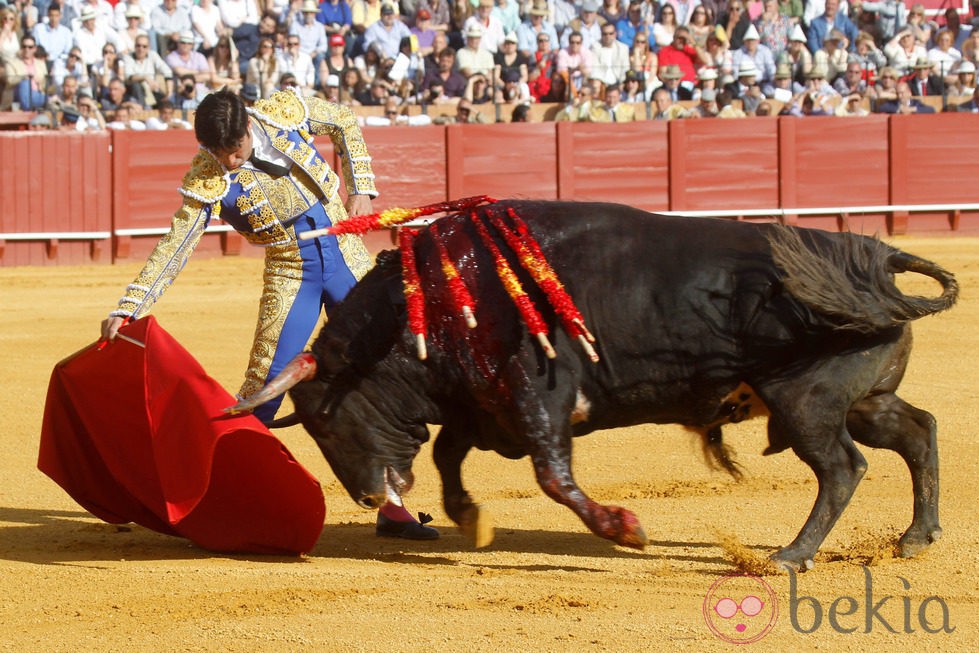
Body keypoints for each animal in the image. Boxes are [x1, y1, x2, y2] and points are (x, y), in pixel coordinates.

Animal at [235, 200, 956, 572]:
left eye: (325, 420)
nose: (364, 496)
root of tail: (874, 259)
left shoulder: (539, 395)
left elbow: (553, 476)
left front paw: (625, 529)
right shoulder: (482, 404)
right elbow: (447, 456)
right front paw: (471, 518)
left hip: (806, 401)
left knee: (840, 467)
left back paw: (789, 555)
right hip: (862, 398)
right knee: (916, 432)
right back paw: (916, 537)